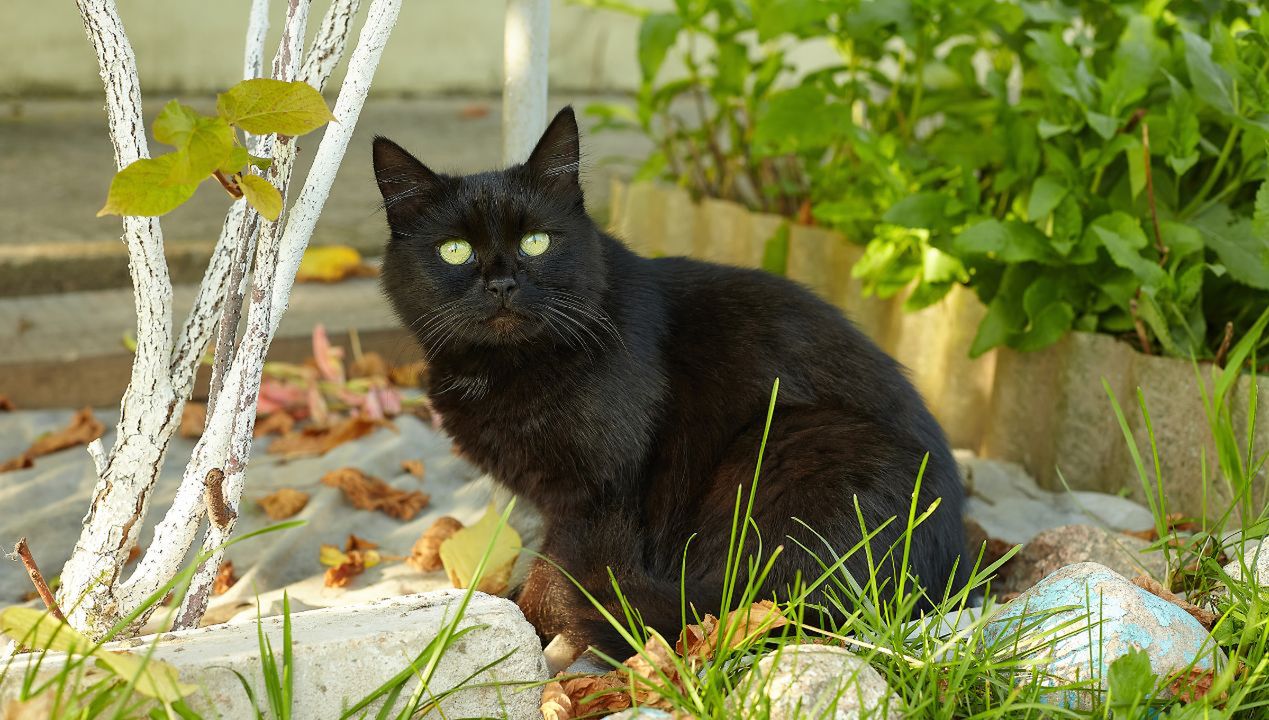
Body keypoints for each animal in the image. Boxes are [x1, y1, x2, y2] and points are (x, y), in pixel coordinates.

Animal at [370, 107, 964, 660]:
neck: (510, 368)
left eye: (537, 241)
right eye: (455, 250)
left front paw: (534, 621)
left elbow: (559, 570)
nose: (501, 284)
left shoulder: (603, 490)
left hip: (791, 443)